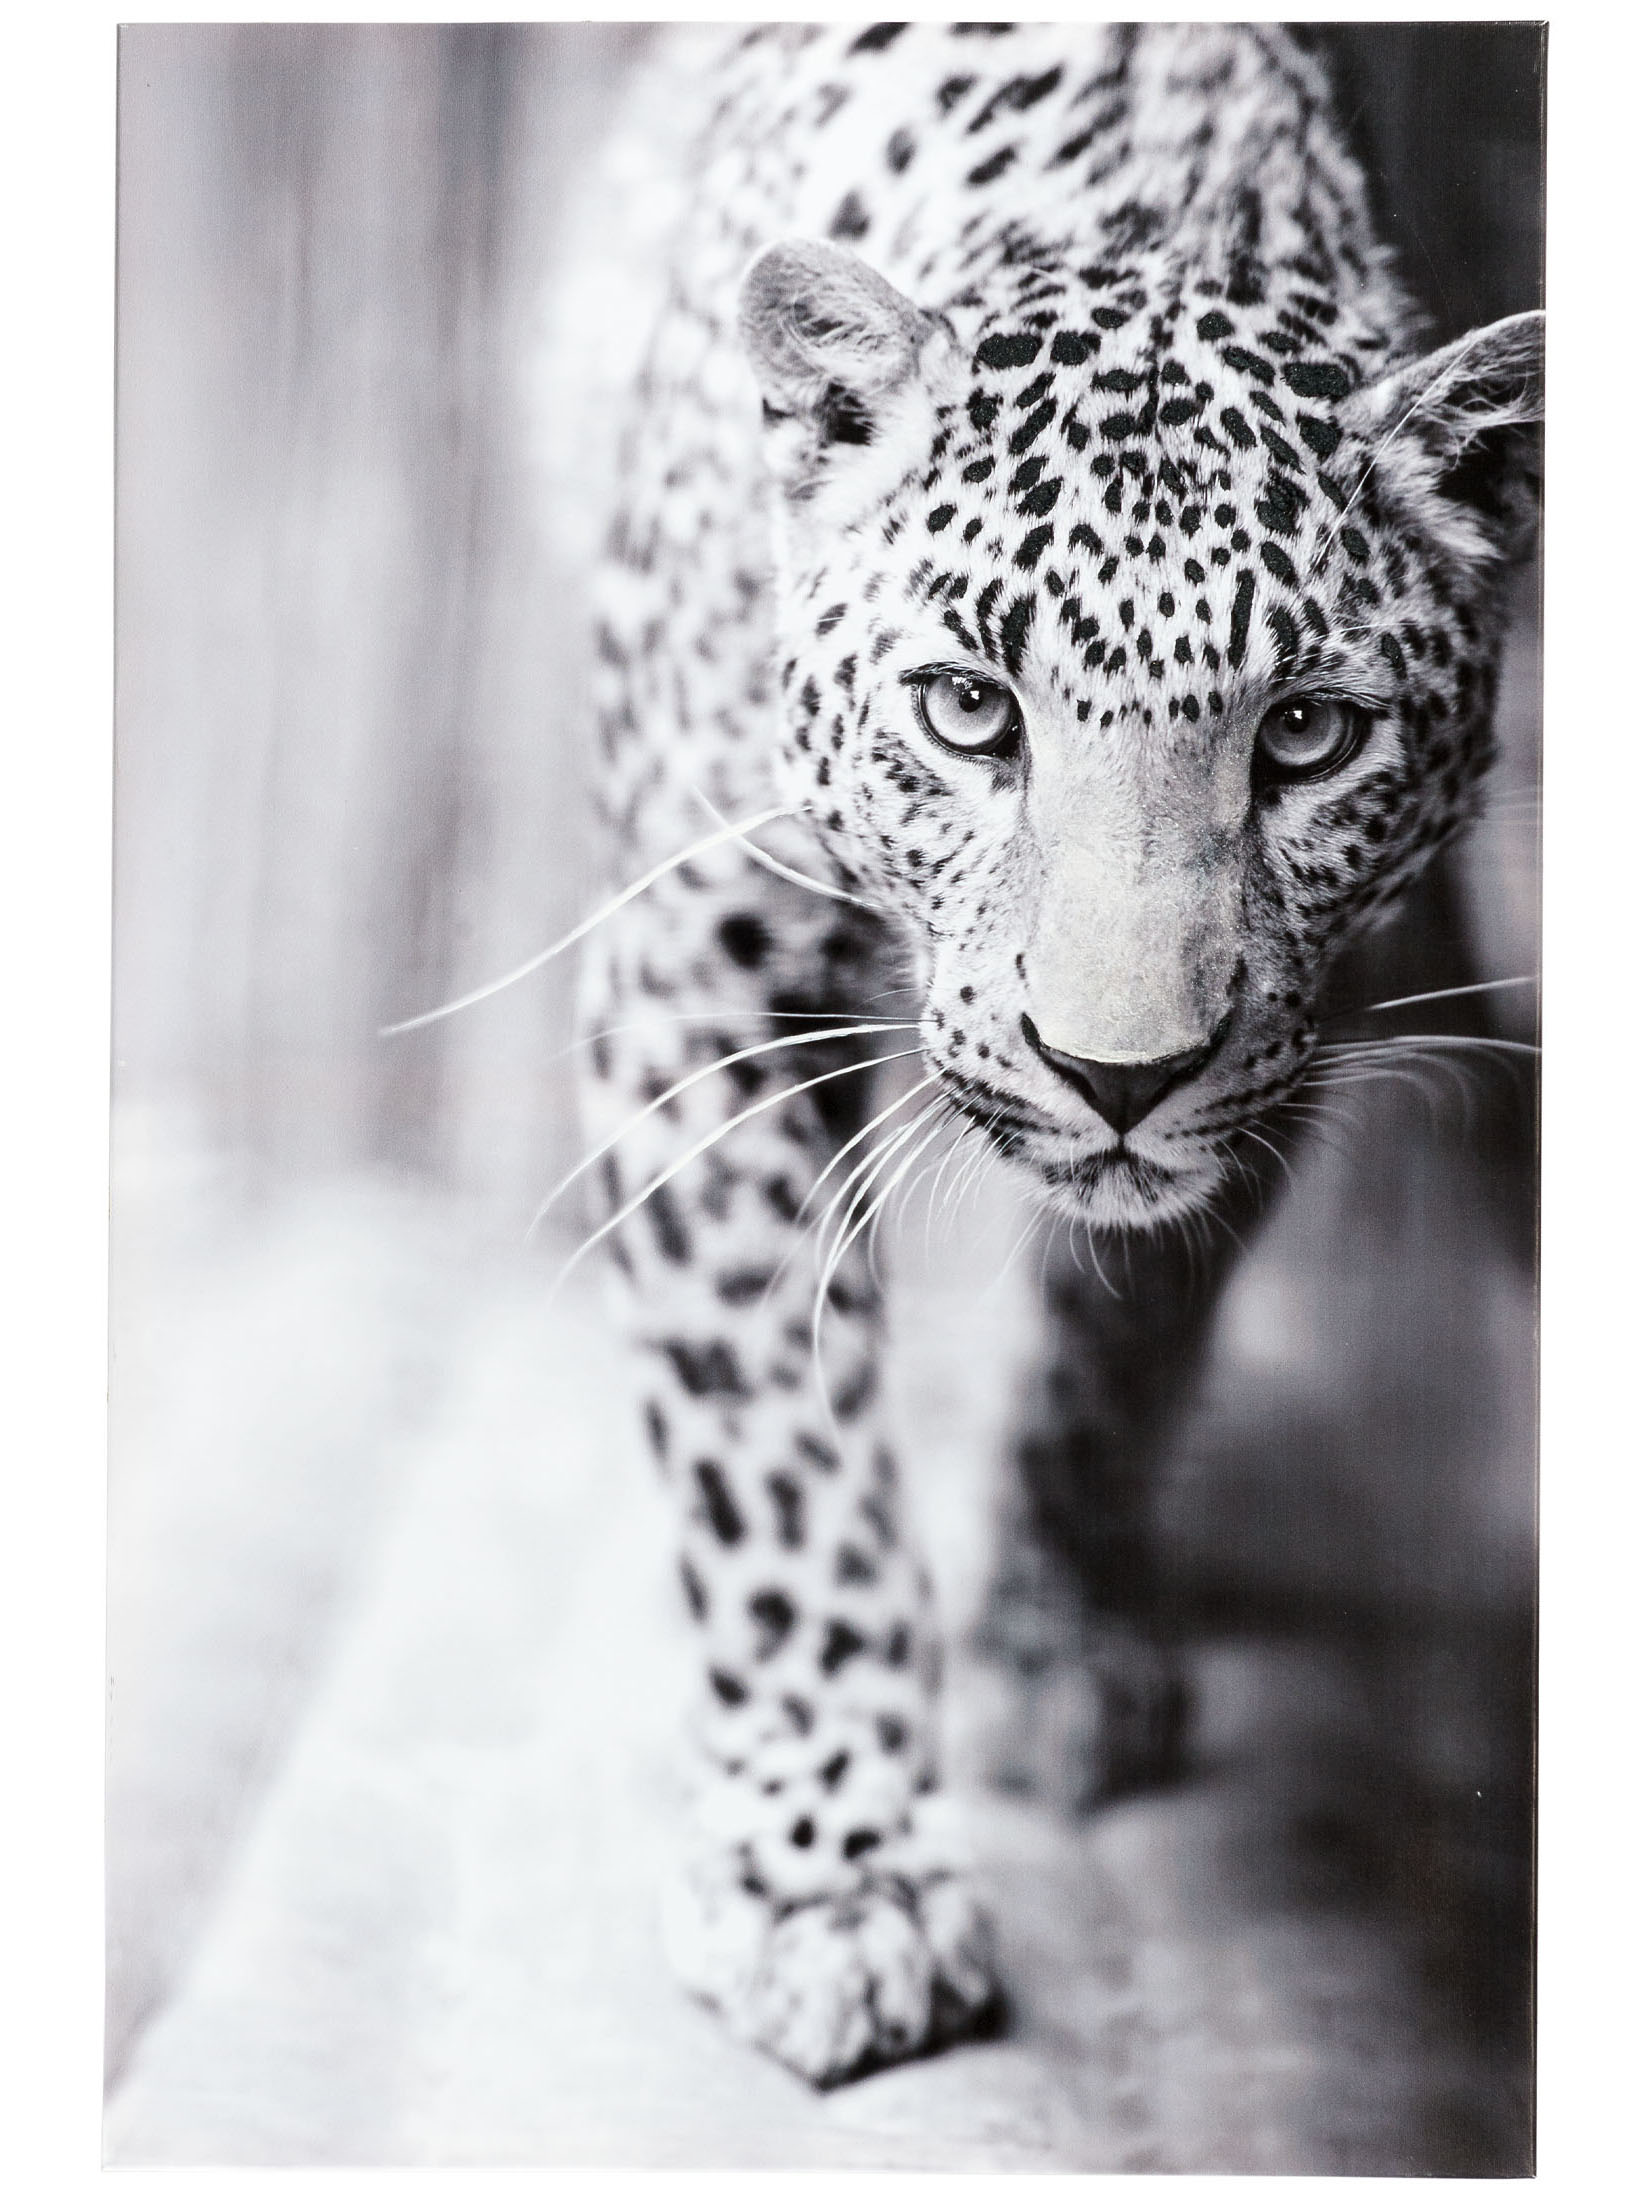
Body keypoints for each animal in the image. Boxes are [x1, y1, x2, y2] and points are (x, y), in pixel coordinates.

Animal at [570, 22, 1542, 2088]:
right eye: (967, 711)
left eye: (1309, 735)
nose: (1116, 1077)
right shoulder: (687, 977)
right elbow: (773, 1463)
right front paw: (829, 1883)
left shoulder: (1294, 1038)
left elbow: (1122, 1341)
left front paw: (1042, 1642)